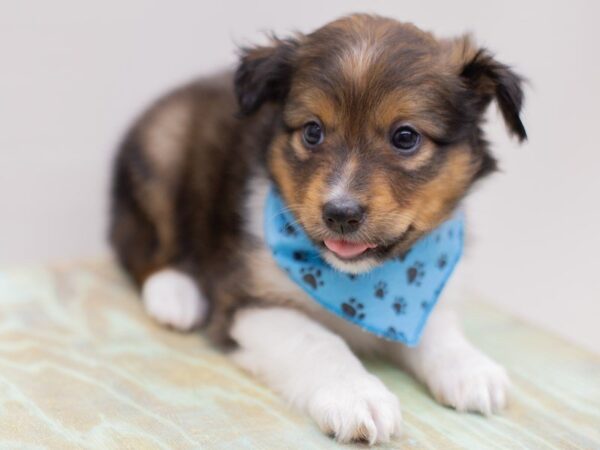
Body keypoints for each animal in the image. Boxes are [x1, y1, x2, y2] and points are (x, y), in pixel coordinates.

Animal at [109, 14, 524, 446]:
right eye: (312, 131)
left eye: (406, 136)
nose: (340, 214)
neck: (362, 281)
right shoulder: (247, 301)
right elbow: (318, 340)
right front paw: (356, 396)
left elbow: (435, 323)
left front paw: (469, 367)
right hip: (163, 150)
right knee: (140, 243)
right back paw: (175, 295)